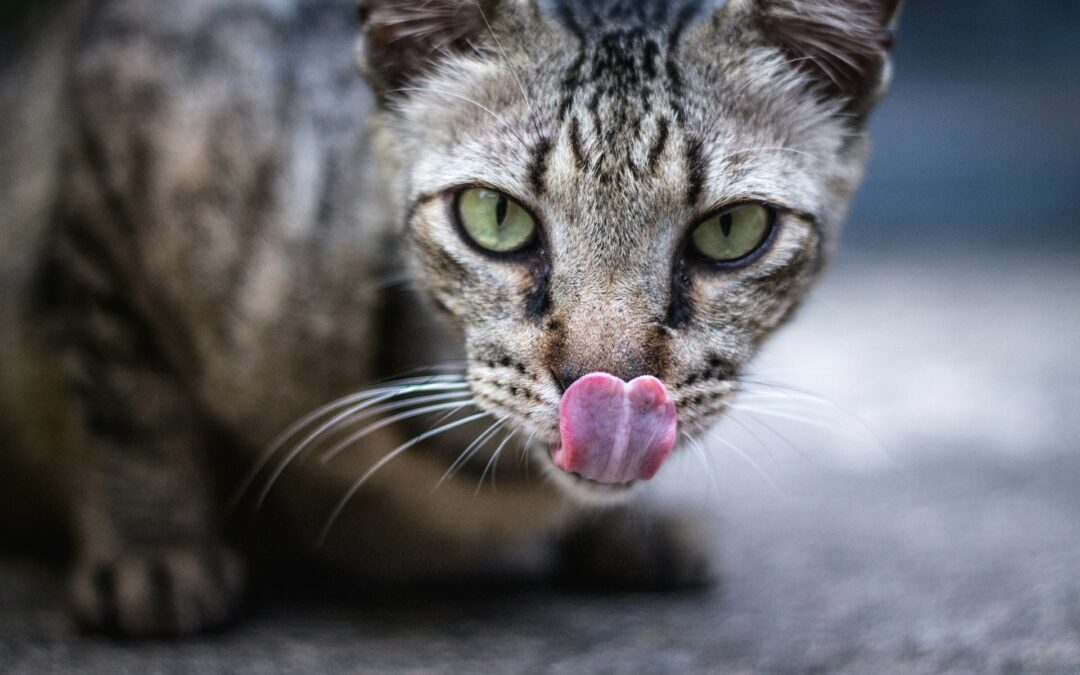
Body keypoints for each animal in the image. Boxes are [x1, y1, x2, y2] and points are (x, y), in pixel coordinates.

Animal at [0, 0, 898, 635]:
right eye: (493, 217)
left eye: (731, 231)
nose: (607, 387)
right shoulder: (116, 135)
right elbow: (128, 398)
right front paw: (155, 548)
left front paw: (630, 530)